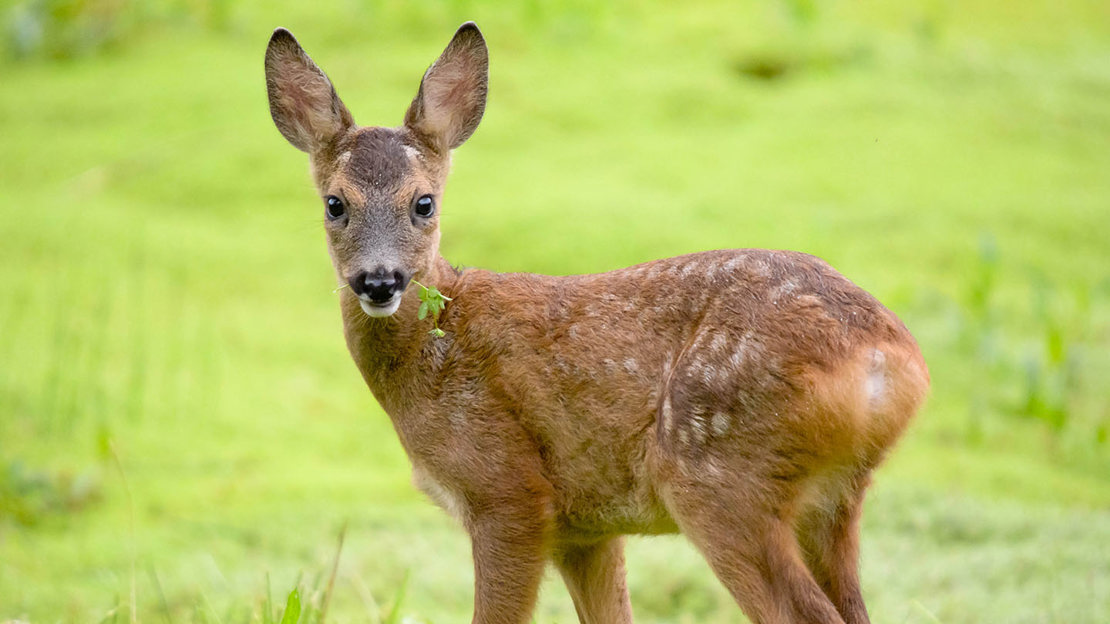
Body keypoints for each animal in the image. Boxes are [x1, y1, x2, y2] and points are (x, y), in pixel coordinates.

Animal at [264, 21, 929, 624]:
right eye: (335, 204)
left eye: (423, 203)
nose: (379, 281)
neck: (437, 341)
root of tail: (887, 362)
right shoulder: (585, 529)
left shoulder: (508, 492)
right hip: (832, 502)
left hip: (719, 478)